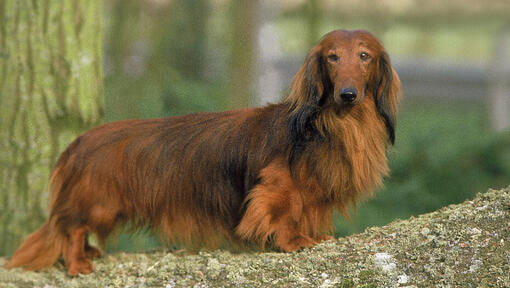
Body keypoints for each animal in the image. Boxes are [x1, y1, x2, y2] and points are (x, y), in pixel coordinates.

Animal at [4, 30, 402, 276]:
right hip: (98, 202)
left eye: (364, 56)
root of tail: (78, 144)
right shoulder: (278, 185)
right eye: (332, 58)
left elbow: (308, 213)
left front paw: (314, 236)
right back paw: (78, 263)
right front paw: (292, 242)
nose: (348, 94)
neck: (338, 124)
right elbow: (283, 212)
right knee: (72, 229)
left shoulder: (315, 194)